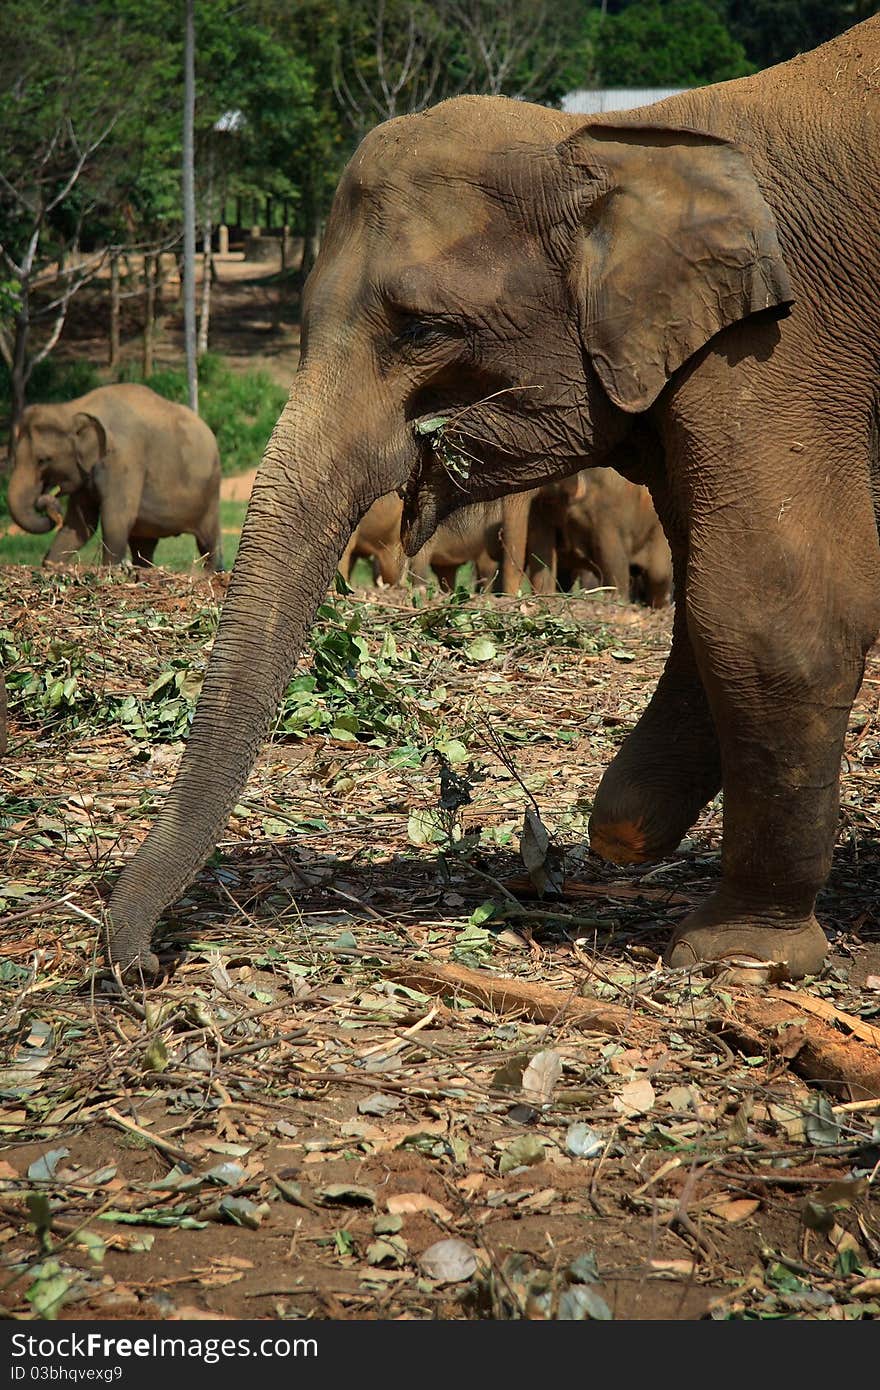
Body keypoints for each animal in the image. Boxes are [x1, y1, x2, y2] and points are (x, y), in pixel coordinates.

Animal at [8, 383, 221, 567]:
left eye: (43, 460)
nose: (45, 501)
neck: (72, 408)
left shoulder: (124, 459)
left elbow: (115, 520)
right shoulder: (86, 473)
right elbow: (80, 525)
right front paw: (51, 566)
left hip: (210, 494)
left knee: (209, 543)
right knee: (143, 545)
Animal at [108, 19, 878, 978]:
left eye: (421, 329)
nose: (143, 962)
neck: (620, 138)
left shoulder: (777, 345)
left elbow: (771, 612)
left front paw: (735, 951)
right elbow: (708, 600)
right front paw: (626, 824)